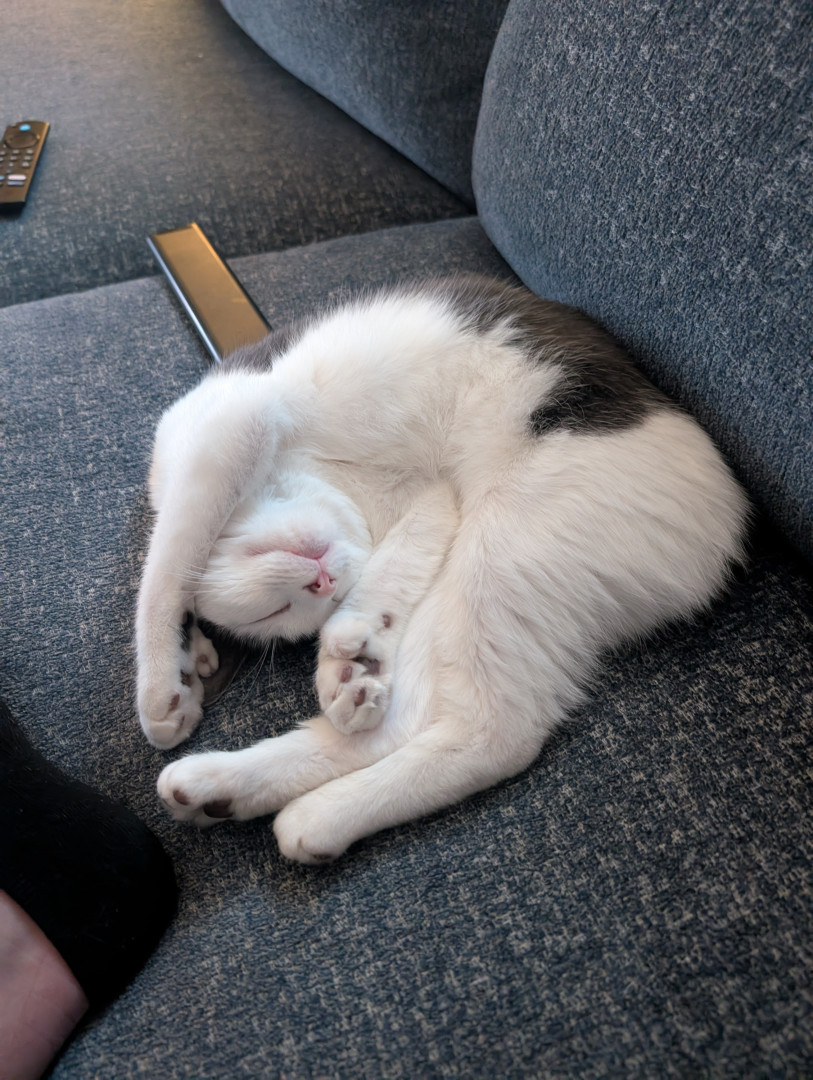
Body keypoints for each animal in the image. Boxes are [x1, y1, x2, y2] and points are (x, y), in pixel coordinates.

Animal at [136, 274, 749, 864]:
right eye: (282, 611)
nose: (323, 581)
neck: (330, 478)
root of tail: (730, 529)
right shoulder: (431, 502)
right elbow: (394, 565)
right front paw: (348, 651)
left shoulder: (231, 425)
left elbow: (170, 561)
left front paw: (163, 691)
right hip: (481, 589)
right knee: (412, 721)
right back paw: (233, 779)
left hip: (505, 549)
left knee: (494, 734)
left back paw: (315, 812)